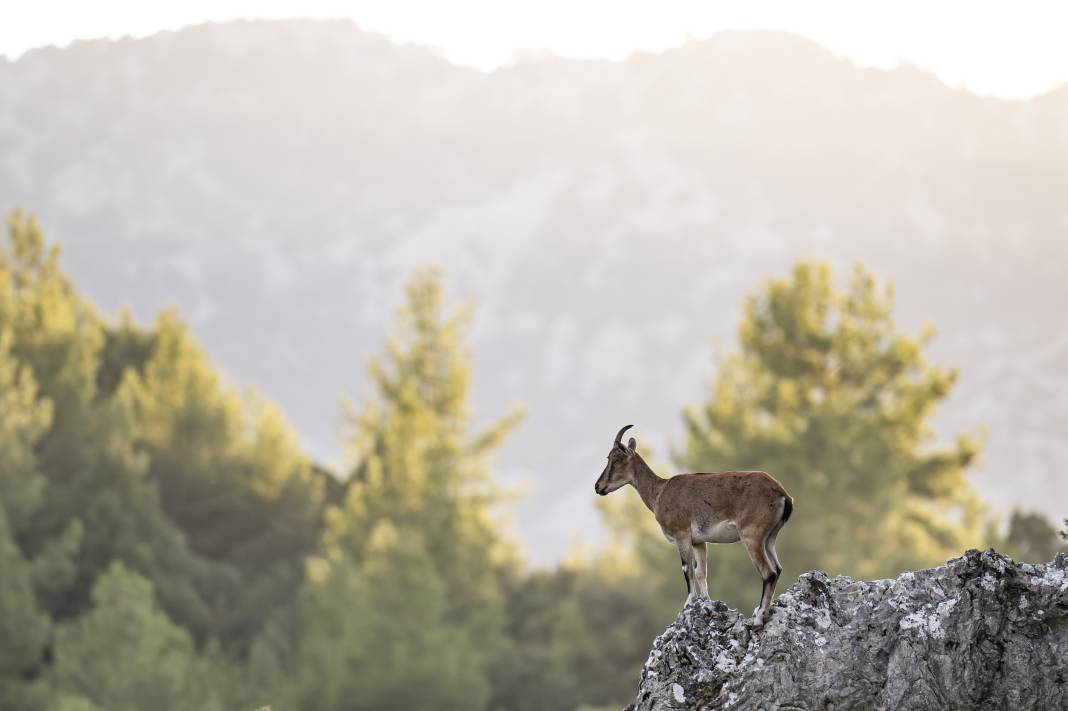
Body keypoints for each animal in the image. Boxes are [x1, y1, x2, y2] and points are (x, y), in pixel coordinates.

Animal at [593, 420, 794, 619]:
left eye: (614, 459)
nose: (598, 486)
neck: (659, 492)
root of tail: (782, 493)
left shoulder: (682, 535)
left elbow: (687, 570)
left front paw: (687, 605)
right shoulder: (699, 542)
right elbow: (700, 572)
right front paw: (706, 603)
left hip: (751, 535)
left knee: (768, 572)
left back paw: (758, 617)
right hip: (769, 538)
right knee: (777, 568)